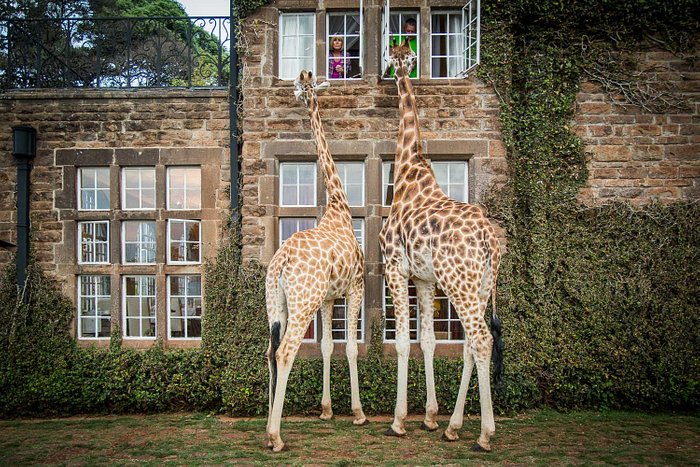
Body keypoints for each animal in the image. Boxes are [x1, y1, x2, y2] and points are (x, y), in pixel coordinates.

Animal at [264, 70, 366, 454]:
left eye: (306, 84)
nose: (306, 84)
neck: (339, 205)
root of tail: (282, 261)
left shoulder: (327, 297)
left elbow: (326, 347)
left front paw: (326, 409)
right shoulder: (355, 287)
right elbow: (349, 347)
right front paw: (358, 412)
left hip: (276, 303)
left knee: (269, 352)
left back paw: (267, 427)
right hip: (302, 301)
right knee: (284, 352)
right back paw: (276, 437)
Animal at [378, 41, 504, 454]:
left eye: (394, 55)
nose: (390, 70)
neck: (408, 172)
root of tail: (489, 240)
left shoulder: (395, 267)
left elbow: (403, 341)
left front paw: (399, 421)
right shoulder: (424, 279)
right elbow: (429, 340)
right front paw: (430, 416)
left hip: (460, 284)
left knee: (481, 339)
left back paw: (484, 434)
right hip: (479, 285)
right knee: (470, 344)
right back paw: (453, 426)